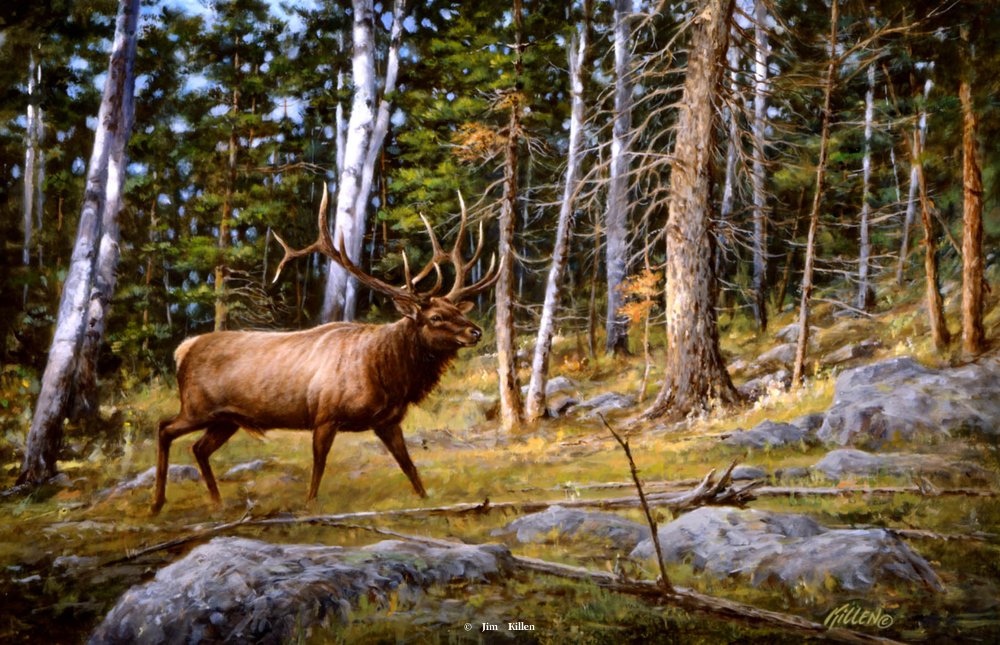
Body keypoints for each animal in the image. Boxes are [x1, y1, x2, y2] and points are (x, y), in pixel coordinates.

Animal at [151, 186, 497, 514]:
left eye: (458, 310)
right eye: (435, 317)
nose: (476, 331)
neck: (386, 373)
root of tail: (183, 349)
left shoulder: (387, 421)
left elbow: (408, 464)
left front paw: (426, 498)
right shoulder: (325, 415)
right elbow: (319, 465)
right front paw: (310, 504)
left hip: (226, 419)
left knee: (198, 448)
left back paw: (215, 501)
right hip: (197, 406)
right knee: (164, 428)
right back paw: (157, 503)